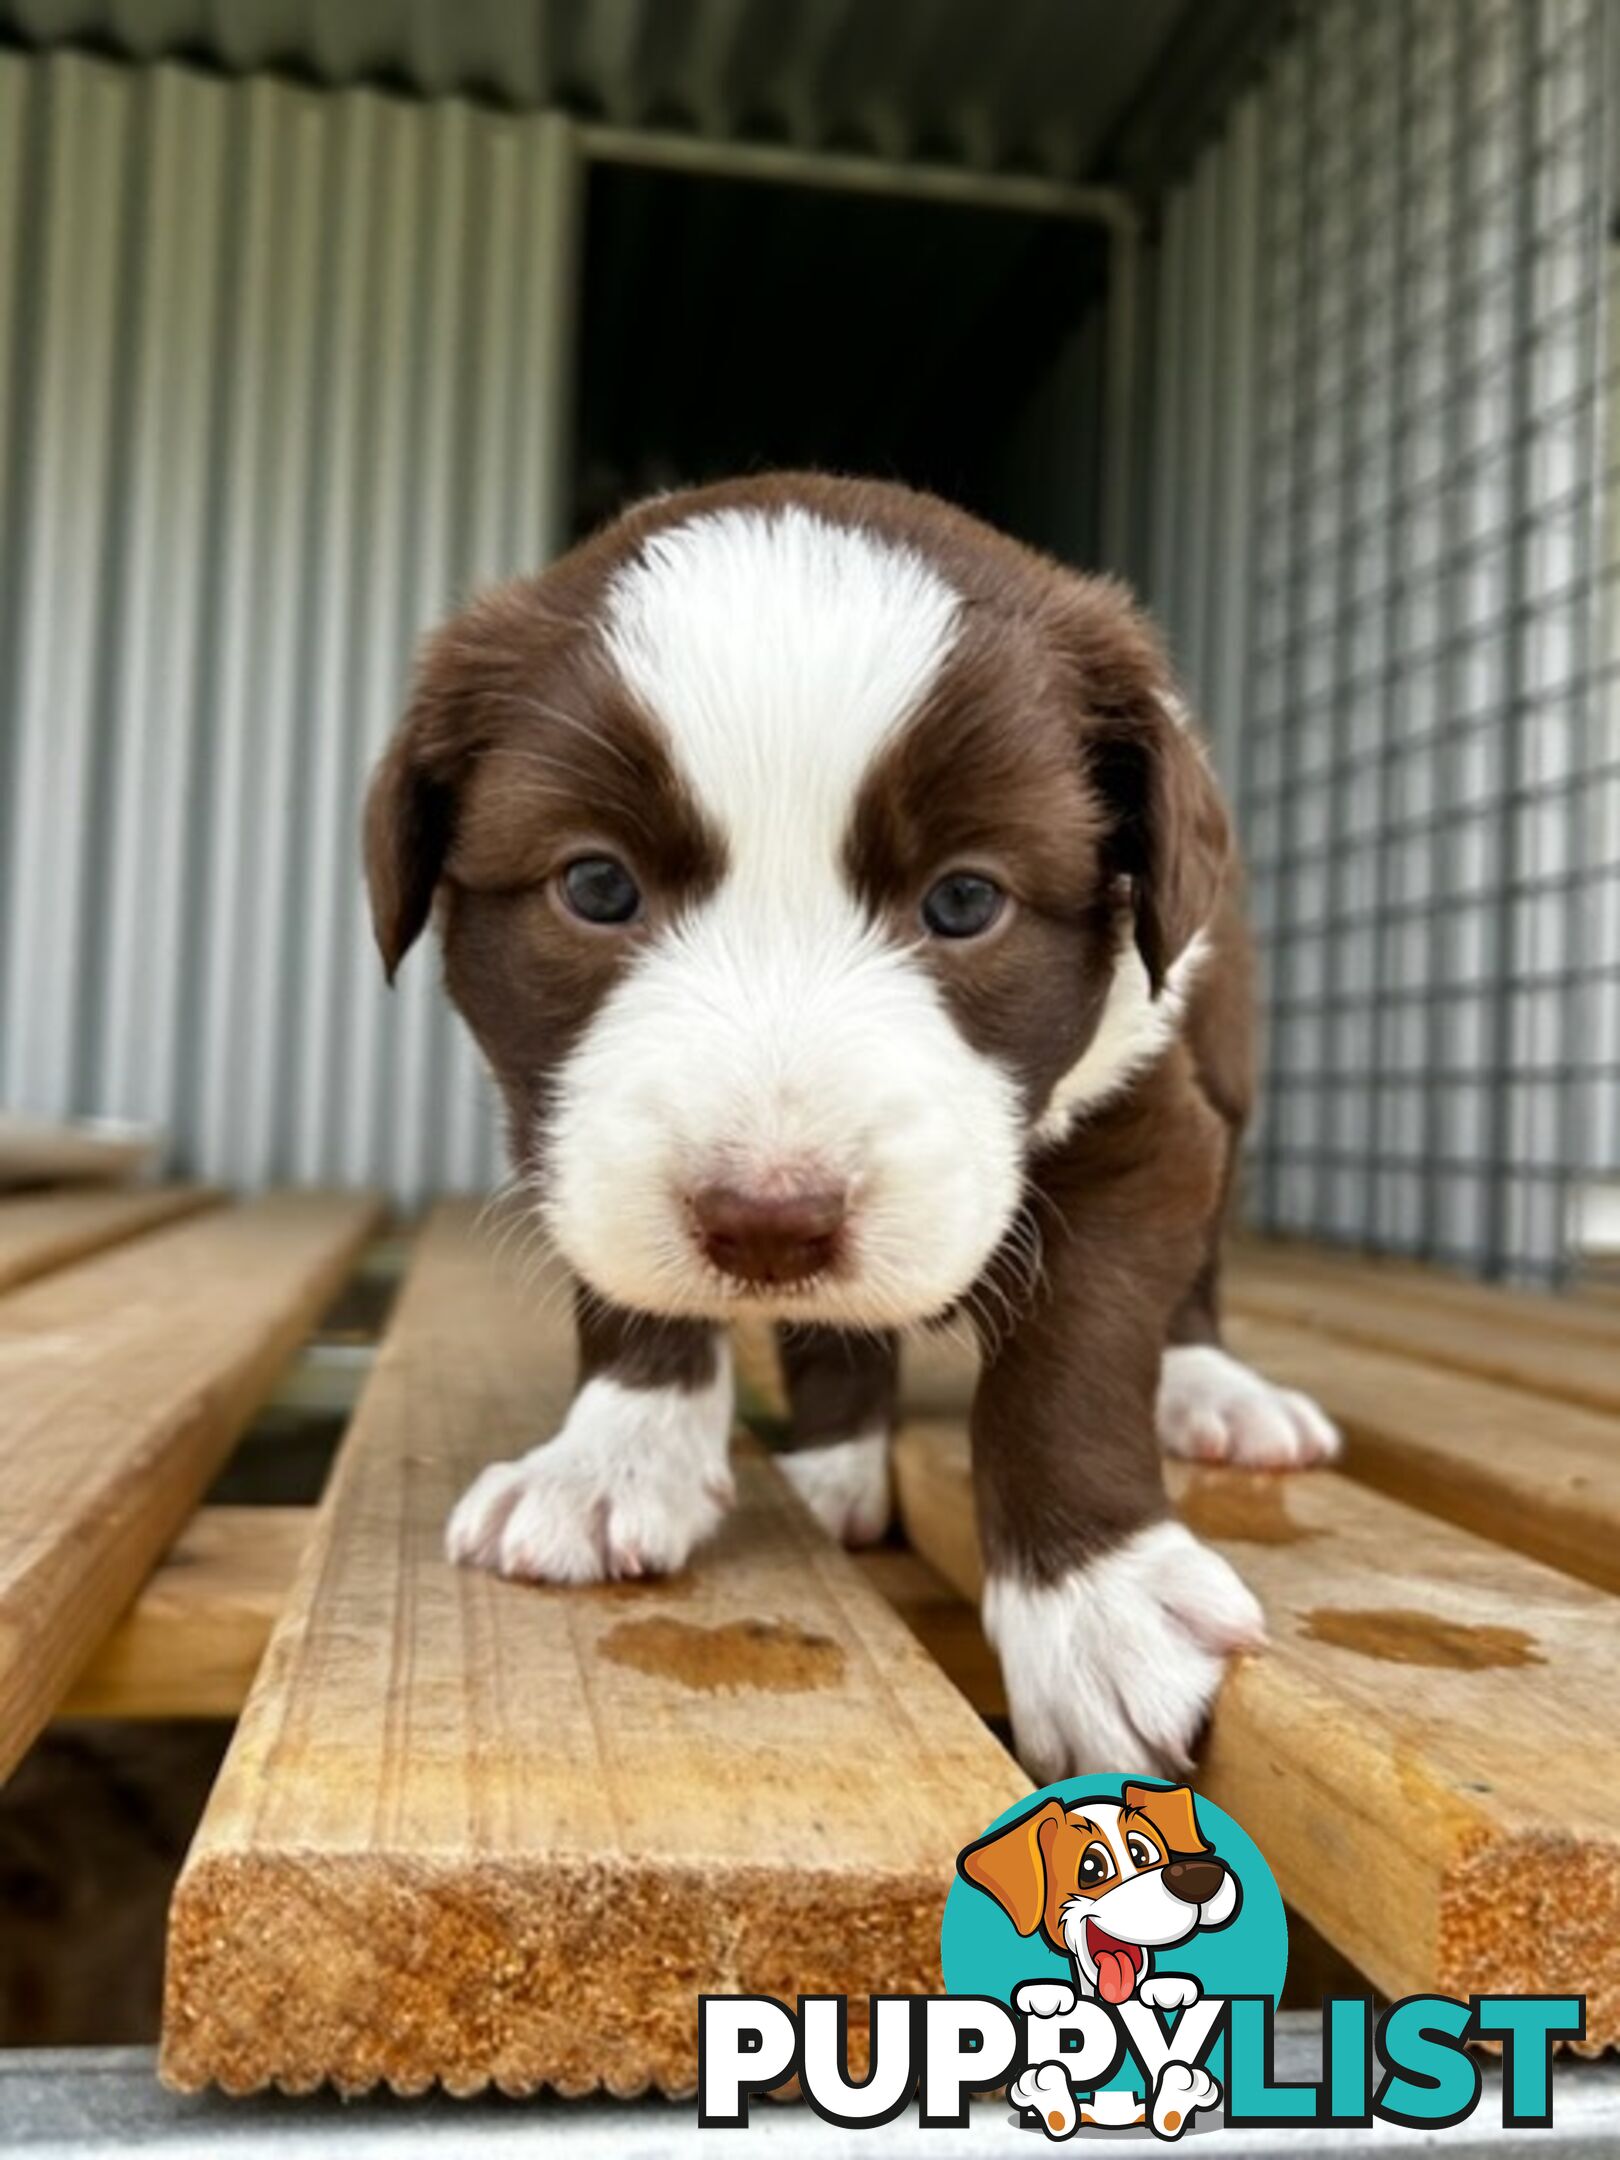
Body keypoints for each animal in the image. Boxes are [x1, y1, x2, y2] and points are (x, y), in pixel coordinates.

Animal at [367, 473, 1347, 1771]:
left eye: (967, 901)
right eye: (596, 886)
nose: (768, 1225)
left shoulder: (1147, 1120)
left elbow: (1073, 1355)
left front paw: (1098, 1606)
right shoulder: (570, 1126)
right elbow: (631, 1272)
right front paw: (613, 1456)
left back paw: (1216, 1395)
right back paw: (834, 1464)